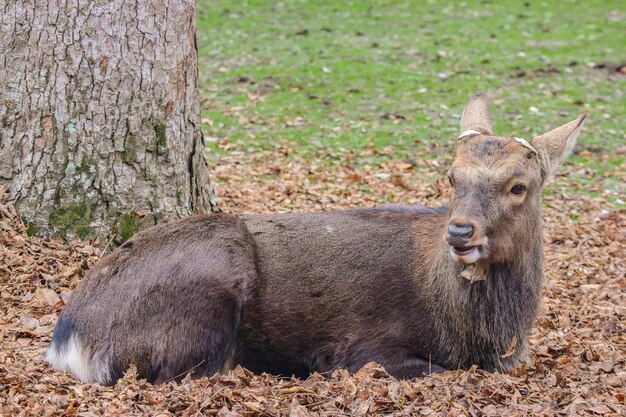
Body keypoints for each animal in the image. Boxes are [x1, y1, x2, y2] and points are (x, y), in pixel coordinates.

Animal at [45, 93, 584, 384]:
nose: (460, 231)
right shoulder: (363, 347)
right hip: (211, 278)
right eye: (452, 177)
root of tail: (68, 338)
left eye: (519, 185)